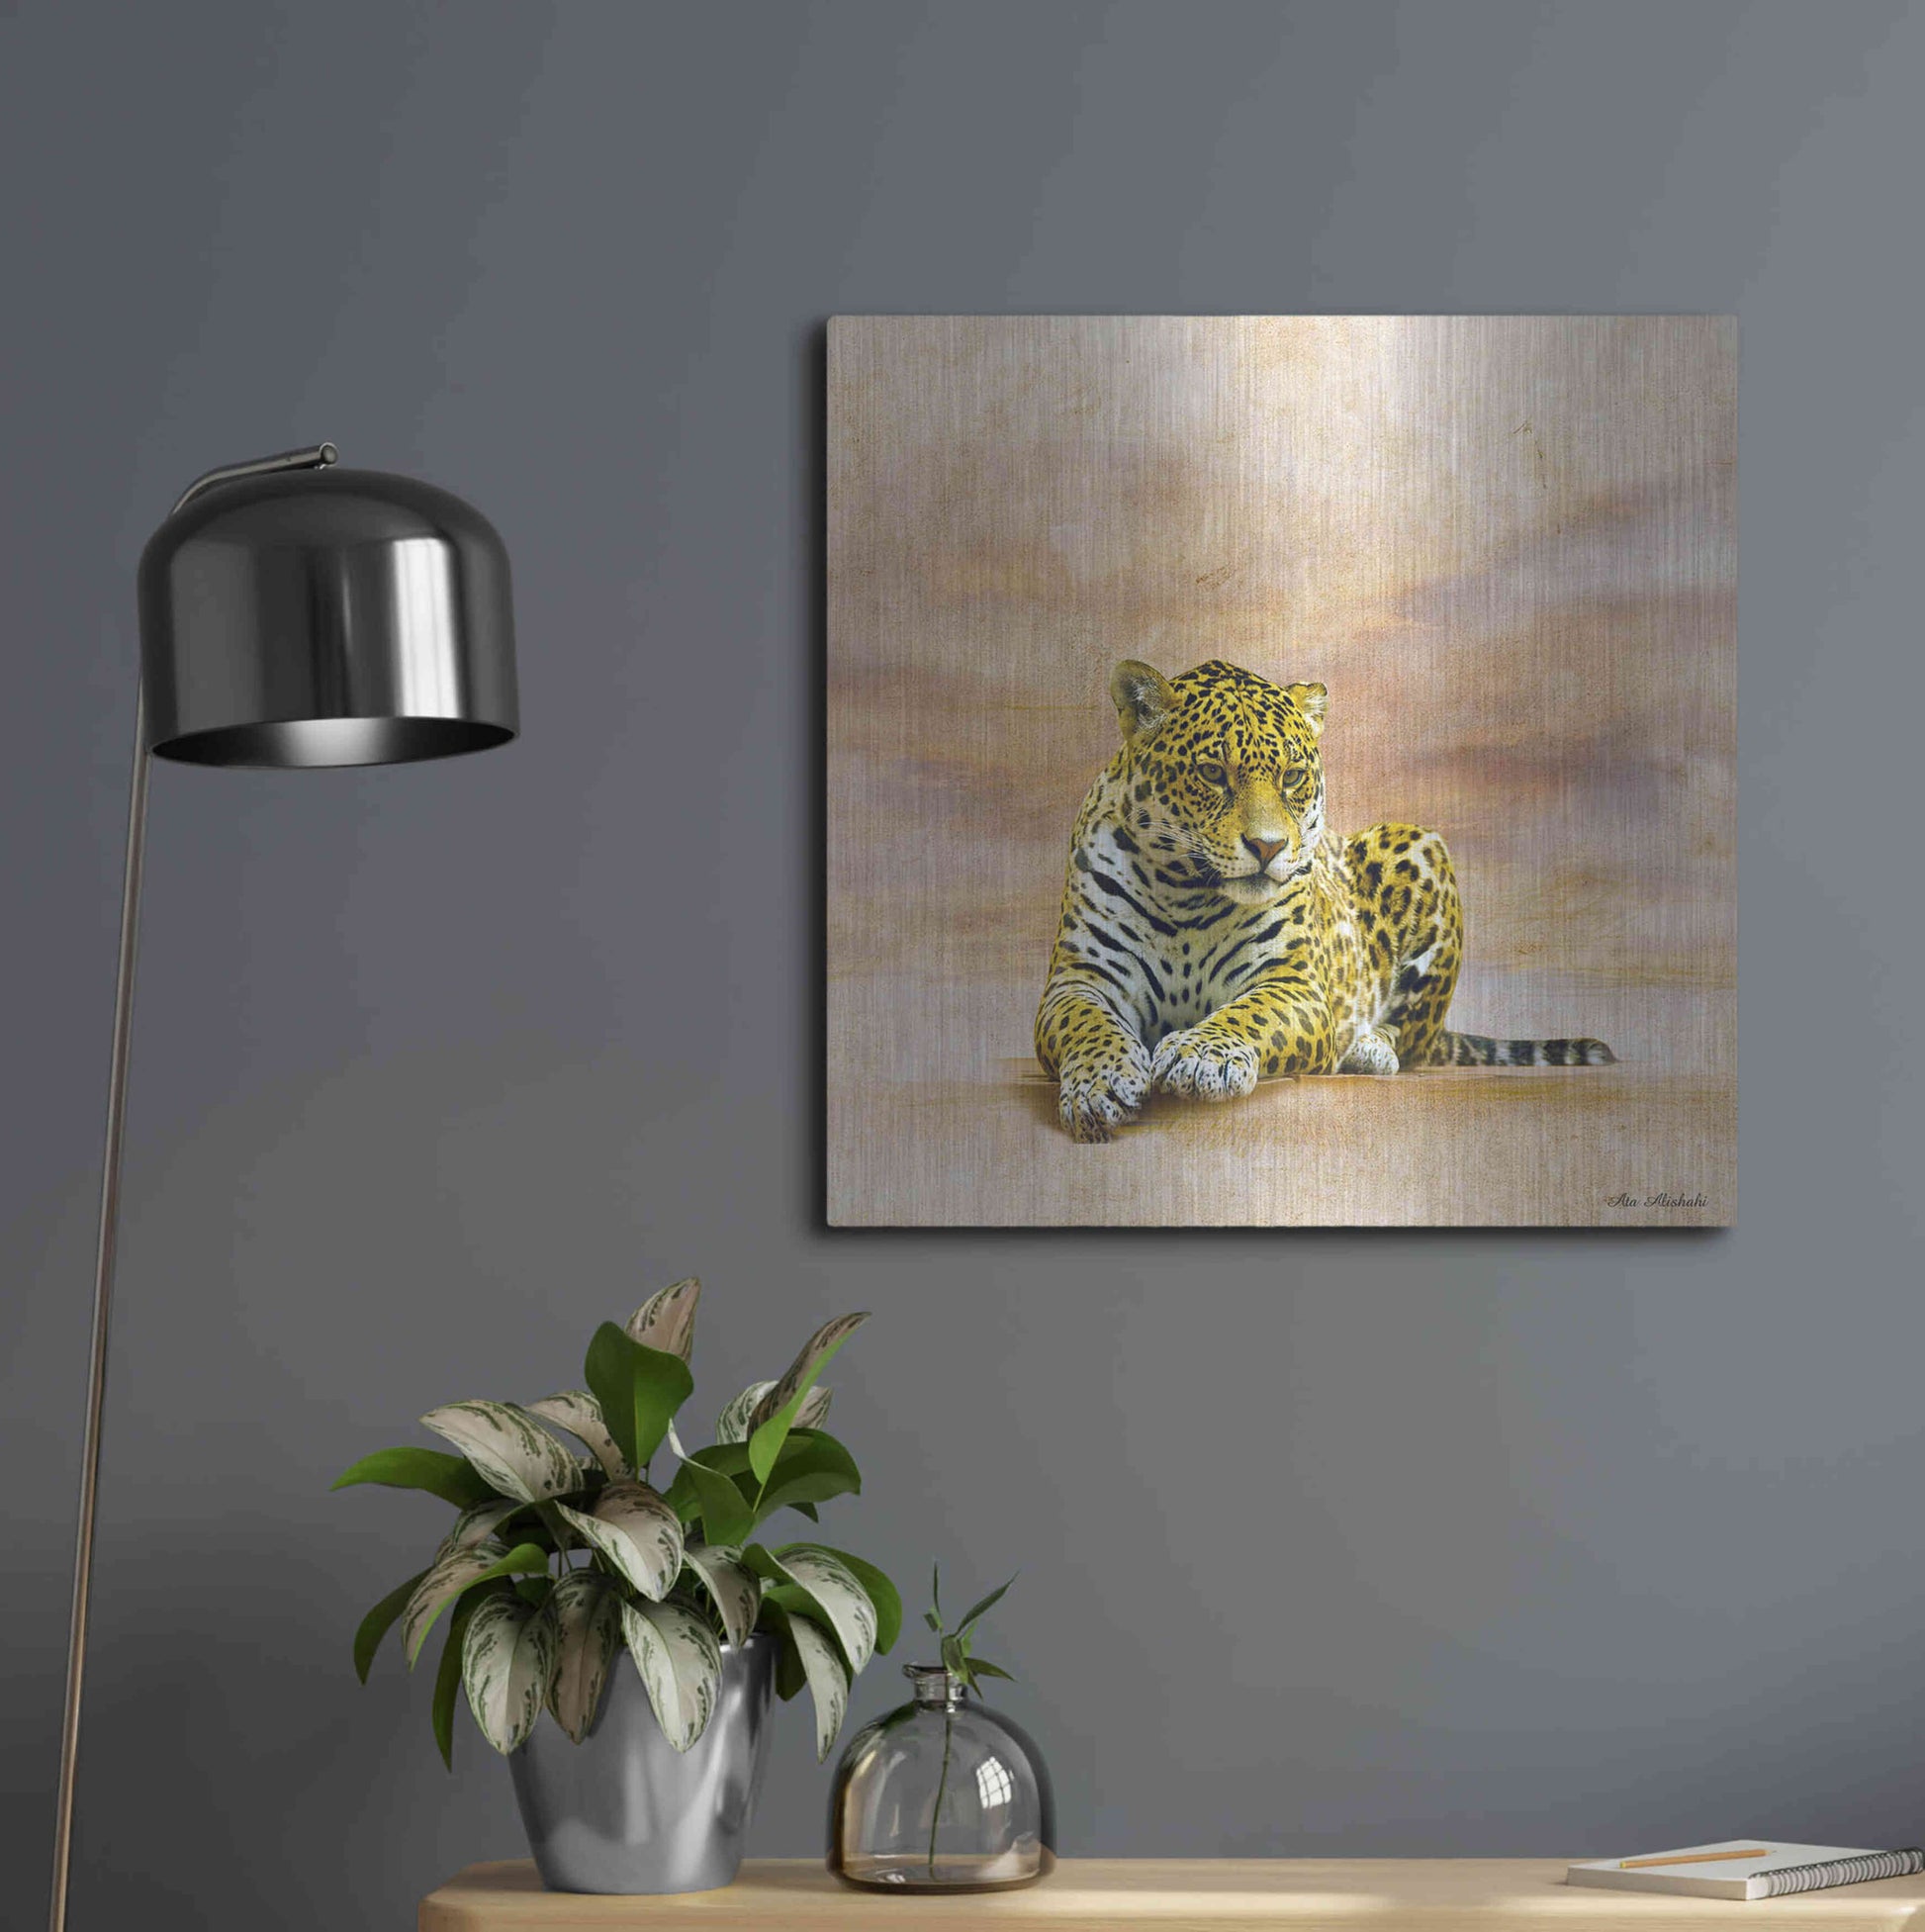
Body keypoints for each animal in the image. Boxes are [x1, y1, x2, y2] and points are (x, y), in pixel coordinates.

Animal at [1034, 658, 1614, 1143]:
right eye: (1212, 773)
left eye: (1291, 776)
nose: (1269, 847)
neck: (1186, 894)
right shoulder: (1078, 980)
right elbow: (1086, 1025)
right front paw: (1099, 1083)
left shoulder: (1295, 985)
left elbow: (1249, 1013)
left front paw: (1201, 1056)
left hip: (1418, 843)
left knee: (1413, 1037)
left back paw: (1368, 1049)